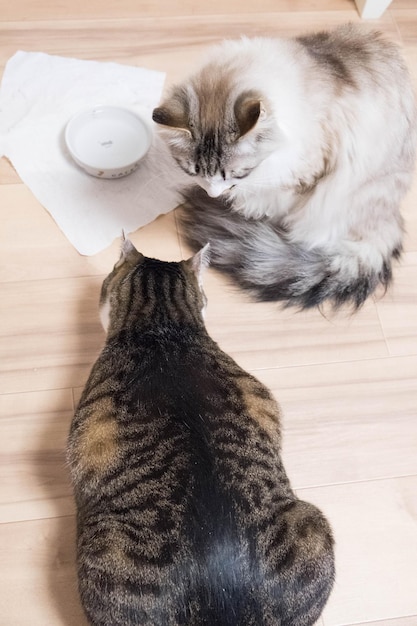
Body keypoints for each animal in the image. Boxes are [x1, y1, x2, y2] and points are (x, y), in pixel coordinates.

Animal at [153, 24, 416, 308]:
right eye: (193, 172)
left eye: (239, 174)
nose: (213, 194)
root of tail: (390, 215)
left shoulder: (306, 173)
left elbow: (276, 200)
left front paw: (254, 208)